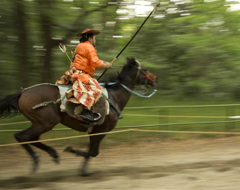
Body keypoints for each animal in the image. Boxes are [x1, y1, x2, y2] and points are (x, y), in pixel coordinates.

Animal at [0, 57, 158, 176]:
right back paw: (36, 160)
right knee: (22, 136)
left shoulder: (95, 131)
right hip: (46, 122)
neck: (113, 97)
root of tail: (23, 92)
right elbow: (93, 152)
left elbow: (92, 152)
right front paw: (75, 157)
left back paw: (53, 154)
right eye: (144, 70)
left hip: (40, 123)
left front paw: (81, 166)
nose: (155, 79)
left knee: (32, 138)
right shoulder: (100, 130)